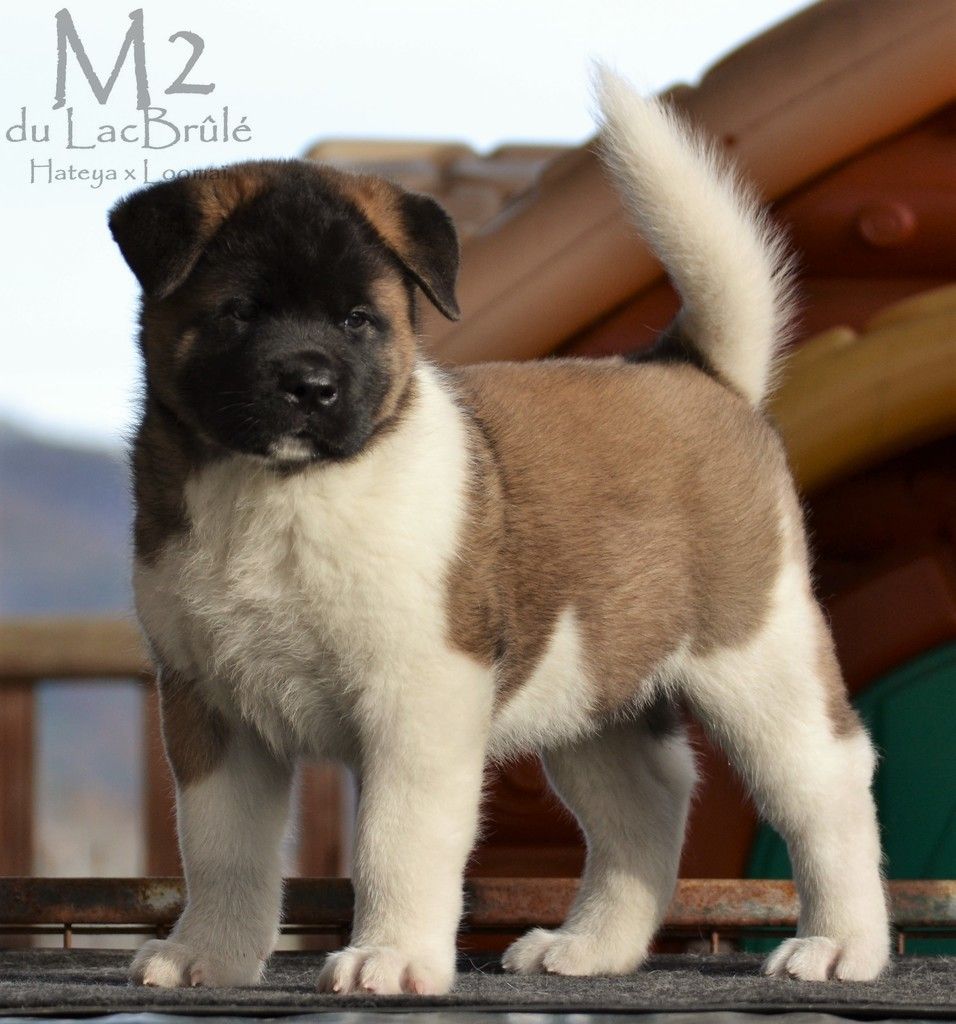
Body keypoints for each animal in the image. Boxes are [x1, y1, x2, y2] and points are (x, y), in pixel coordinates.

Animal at [109, 68, 890, 993]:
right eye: (237, 314)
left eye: (358, 320)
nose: (310, 386)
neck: (283, 491)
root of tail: (692, 370)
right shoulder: (209, 706)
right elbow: (220, 845)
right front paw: (210, 954)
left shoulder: (419, 697)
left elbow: (397, 839)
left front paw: (390, 956)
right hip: (592, 685)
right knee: (649, 801)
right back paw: (592, 946)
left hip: (759, 659)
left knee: (828, 785)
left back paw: (843, 943)